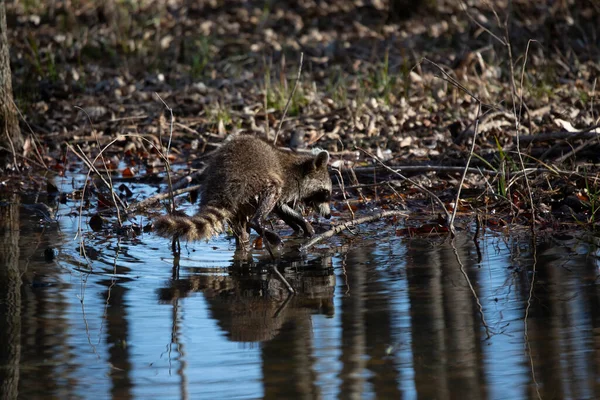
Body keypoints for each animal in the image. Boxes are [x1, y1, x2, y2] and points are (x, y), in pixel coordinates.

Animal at [154, 136, 332, 248]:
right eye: (326, 194)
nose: (329, 216)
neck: (301, 170)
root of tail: (220, 186)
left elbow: (281, 208)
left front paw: (298, 224)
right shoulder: (288, 183)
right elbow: (279, 204)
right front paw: (301, 221)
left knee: (241, 228)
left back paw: (244, 242)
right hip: (253, 179)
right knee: (271, 190)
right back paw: (258, 223)